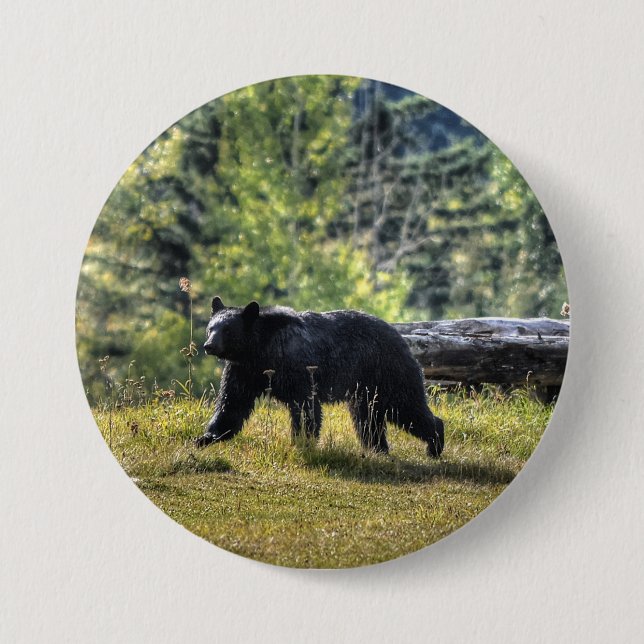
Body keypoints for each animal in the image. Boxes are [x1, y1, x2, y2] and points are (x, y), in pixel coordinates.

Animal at [194, 297, 444, 458]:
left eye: (227, 330)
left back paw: (434, 443)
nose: (209, 346)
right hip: (366, 388)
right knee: (368, 418)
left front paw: (302, 442)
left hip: (388, 373)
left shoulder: (296, 367)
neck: (259, 350)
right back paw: (377, 449)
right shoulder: (244, 371)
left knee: (406, 407)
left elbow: (305, 406)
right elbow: (231, 404)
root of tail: (401, 337)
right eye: (211, 327)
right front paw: (206, 437)